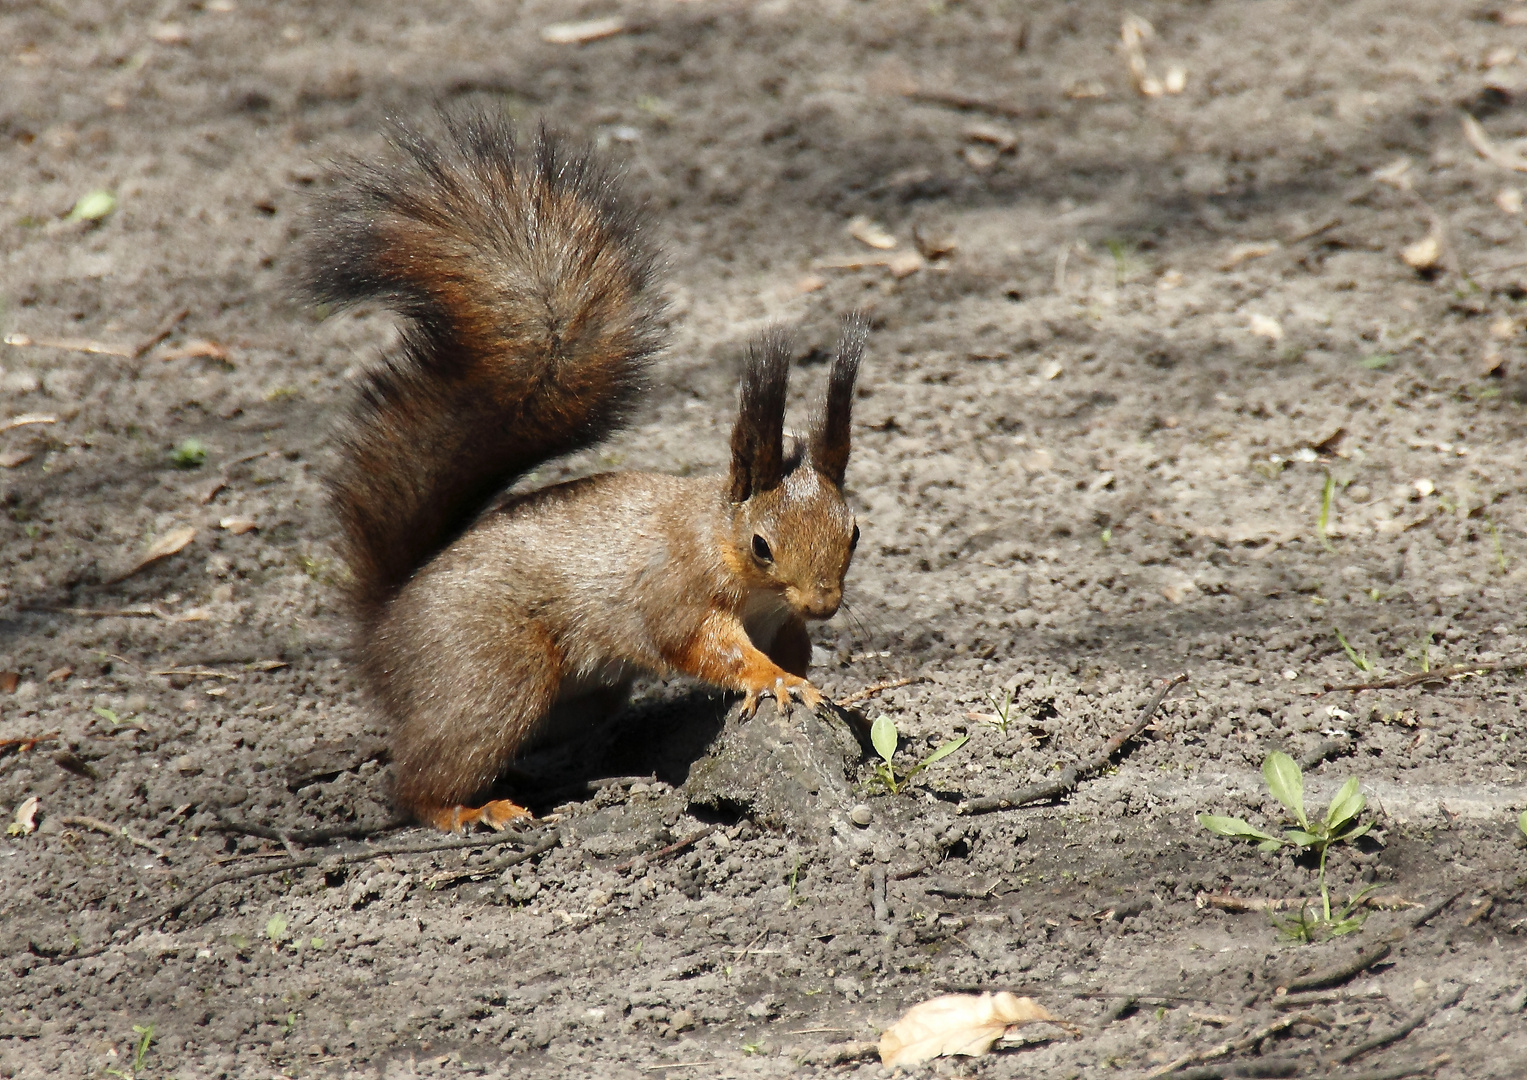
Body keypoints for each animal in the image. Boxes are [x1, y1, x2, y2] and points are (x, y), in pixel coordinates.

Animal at [303, 113, 867, 831]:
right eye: (761, 545)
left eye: (854, 534)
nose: (824, 604)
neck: (722, 547)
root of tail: (384, 625)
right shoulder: (674, 594)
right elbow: (705, 648)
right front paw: (772, 680)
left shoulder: (782, 621)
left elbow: (792, 652)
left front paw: (813, 682)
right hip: (491, 673)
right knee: (418, 779)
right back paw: (471, 810)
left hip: (575, 696)